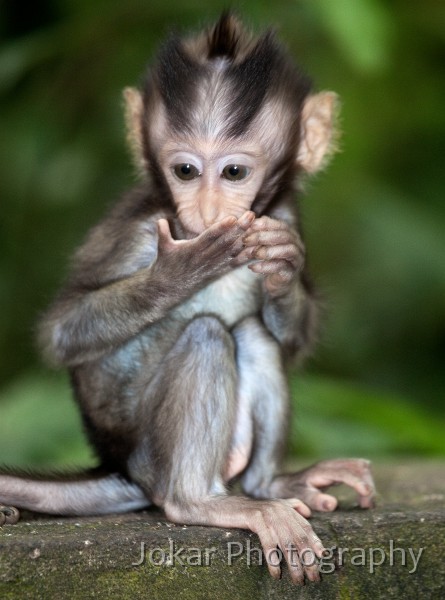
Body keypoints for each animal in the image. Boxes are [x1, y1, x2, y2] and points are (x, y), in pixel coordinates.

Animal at [0, 14, 374, 584]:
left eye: (234, 173)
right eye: (185, 171)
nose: (207, 210)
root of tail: (122, 467)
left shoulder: (281, 213)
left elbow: (292, 333)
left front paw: (283, 268)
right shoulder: (138, 229)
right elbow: (63, 331)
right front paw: (180, 272)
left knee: (252, 334)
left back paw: (271, 485)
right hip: (147, 445)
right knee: (206, 334)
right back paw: (199, 501)